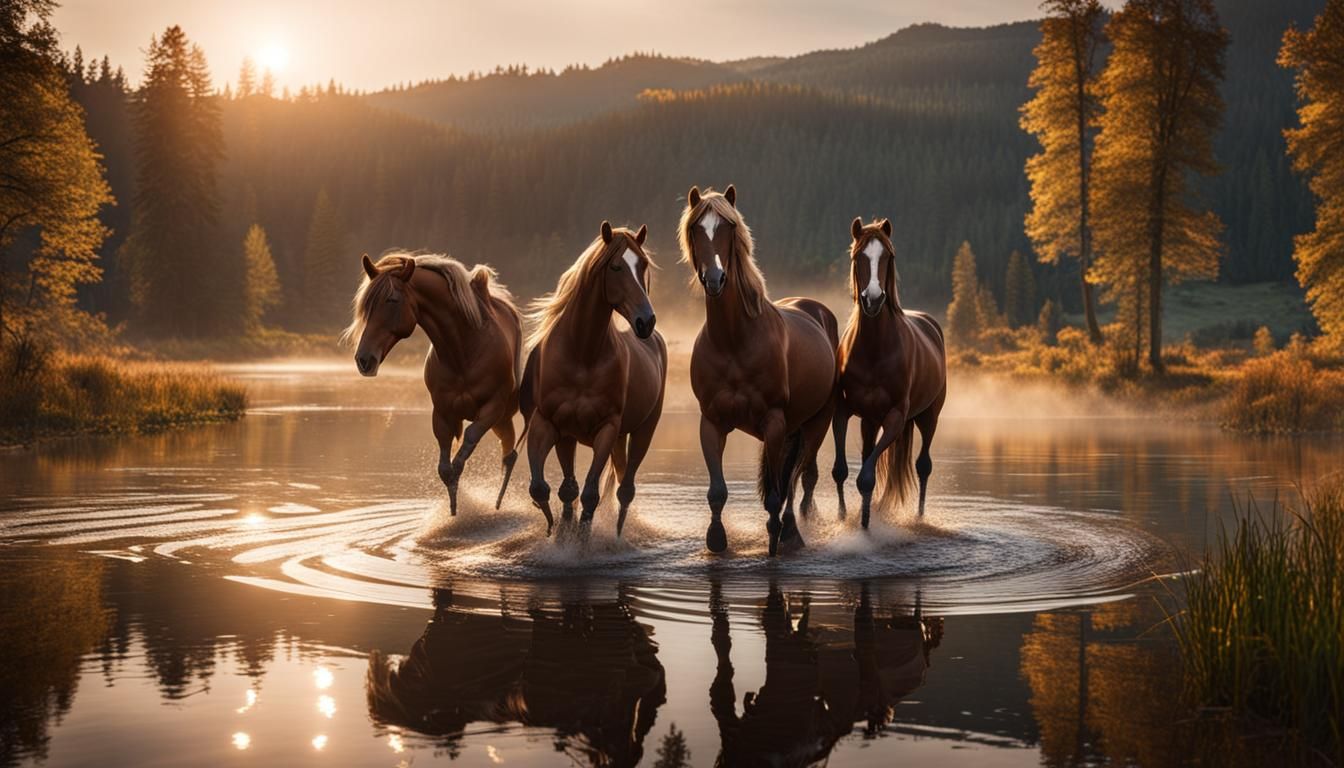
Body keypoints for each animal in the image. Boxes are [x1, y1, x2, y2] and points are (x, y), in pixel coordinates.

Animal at [344, 251, 524, 516]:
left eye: (392, 300)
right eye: (366, 306)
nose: (364, 359)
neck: (463, 351)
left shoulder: (492, 409)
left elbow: (466, 445)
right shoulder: (442, 413)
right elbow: (446, 470)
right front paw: (453, 513)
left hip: (502, 418)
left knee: (508, 454)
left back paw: (499, 504)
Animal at [521, 221, 667, 535]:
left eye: (643, 265)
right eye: (615, 266)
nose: (646, 321)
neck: (582, 354)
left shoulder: (607, 429)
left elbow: (589, 494)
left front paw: (580, 540)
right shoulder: (549, 424)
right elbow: (547, 488)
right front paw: (554, 530)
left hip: (643, 431)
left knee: (625, 490)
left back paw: (619, 535)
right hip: (585, 438)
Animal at [679, 185, 839, 557]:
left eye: (729, 227)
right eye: (696, 228)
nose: (715, 279)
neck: (734, 341)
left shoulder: (774, 422)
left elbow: (776, 495)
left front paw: (774, 542)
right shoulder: (711, 422)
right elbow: (717, 491)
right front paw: (716, 540)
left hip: (816, 423)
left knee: (797, 479)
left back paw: (791, 533)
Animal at [832, 218, 947, 527]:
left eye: (888, 257)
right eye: (858, 256)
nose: (873, 299)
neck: (874, 348)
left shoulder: (895, 417)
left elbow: (866, 478)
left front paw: (864, 526)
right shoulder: (844, 411)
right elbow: (841, 471)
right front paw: (843, 516)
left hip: (928, 417)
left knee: (923, 466)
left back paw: (918, 516)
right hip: (871, 422)